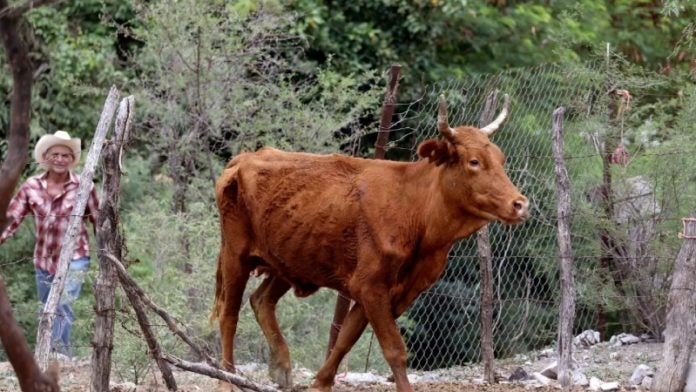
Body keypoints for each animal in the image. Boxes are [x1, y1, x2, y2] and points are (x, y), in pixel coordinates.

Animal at [212, 95, 528, 392]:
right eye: (474, 161)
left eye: (501, 159)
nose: (520, 204)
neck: (414, 209)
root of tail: (245, 158)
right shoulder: (371, 286)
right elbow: (394, 350)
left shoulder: (388, 290)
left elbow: (345, 338)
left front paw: (321, 382)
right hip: (235, 254)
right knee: (229, 316)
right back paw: (227, 379)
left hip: (291, 258)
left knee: (261, 301)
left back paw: (281, 368)